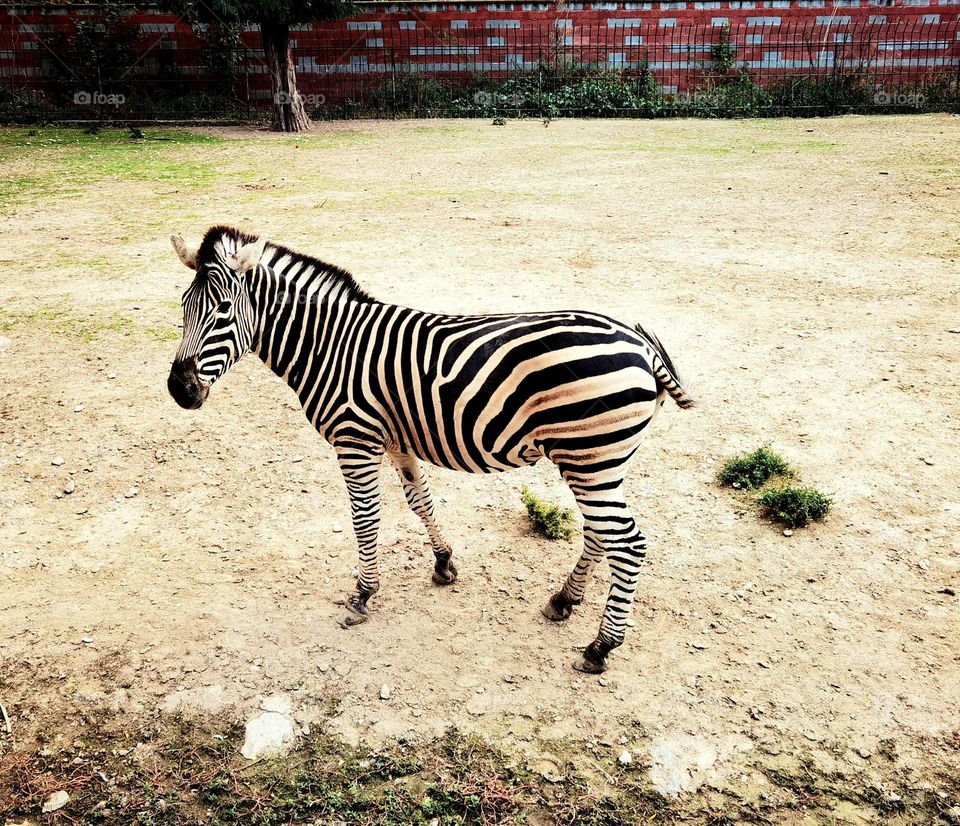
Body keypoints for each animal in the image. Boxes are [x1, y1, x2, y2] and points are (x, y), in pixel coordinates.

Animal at [167, 225, 695, 674]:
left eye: (222, 314)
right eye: (183, 307)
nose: (179, 391)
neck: (330, 346)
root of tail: (641, 342)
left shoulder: (355, 440)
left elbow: (365, 519)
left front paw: (362, 596)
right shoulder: (396, 438)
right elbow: (419, 500)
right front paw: (443, 564)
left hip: (590, 456)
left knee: (628, 543)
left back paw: (600, 647)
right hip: (594, 460)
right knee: (602, 533)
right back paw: (564, 600)